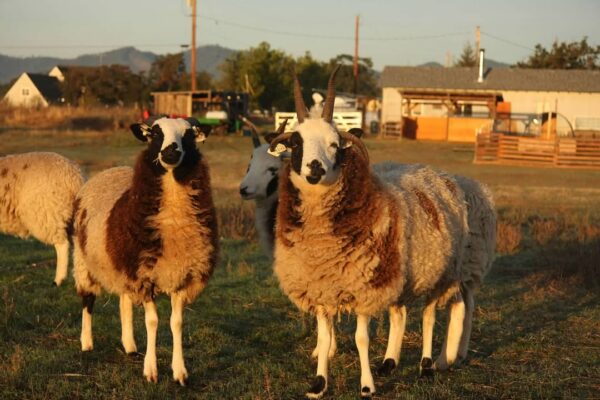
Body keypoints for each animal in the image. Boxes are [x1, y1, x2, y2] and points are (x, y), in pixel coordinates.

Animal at [72, 117, 218, 386]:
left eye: (189, 134)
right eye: (155, 134)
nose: (171, 152)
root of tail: (111, 170)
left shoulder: (181, 276)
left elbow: (176, 323)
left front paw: (180, 372)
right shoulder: (145, 276)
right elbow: (152, 321)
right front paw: (151, 370)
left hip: (123, 265)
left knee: (124, 302)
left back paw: (129, 345)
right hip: (84, 260)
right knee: (88, 300)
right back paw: (86, 343)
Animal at [268, 67, 468, 398]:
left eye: (334, 144)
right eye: (296, 143)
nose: (315, 168)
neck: (321, 244)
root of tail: (434, 173)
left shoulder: (364, 286)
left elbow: (361, 339)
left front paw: (366, 386)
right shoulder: (321, 287)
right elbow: (324, 339)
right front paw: (319, 383)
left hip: (444, 271)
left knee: (434, 315)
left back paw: (431, 364)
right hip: (403, 274)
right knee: (401, 314)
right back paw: (391, 362)